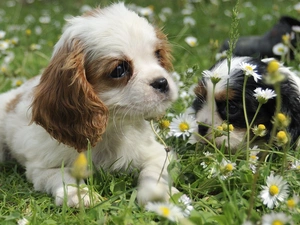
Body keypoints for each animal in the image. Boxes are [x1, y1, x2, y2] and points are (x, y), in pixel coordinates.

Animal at [0, 3, 178, 207]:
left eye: (157, 55)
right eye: (119, 69)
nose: (162, 82)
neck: (111, 127)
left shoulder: (158, 153)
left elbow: (154, 172)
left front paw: (157, 194)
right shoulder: (42, 168)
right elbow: (62, 176)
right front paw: (80, 195)